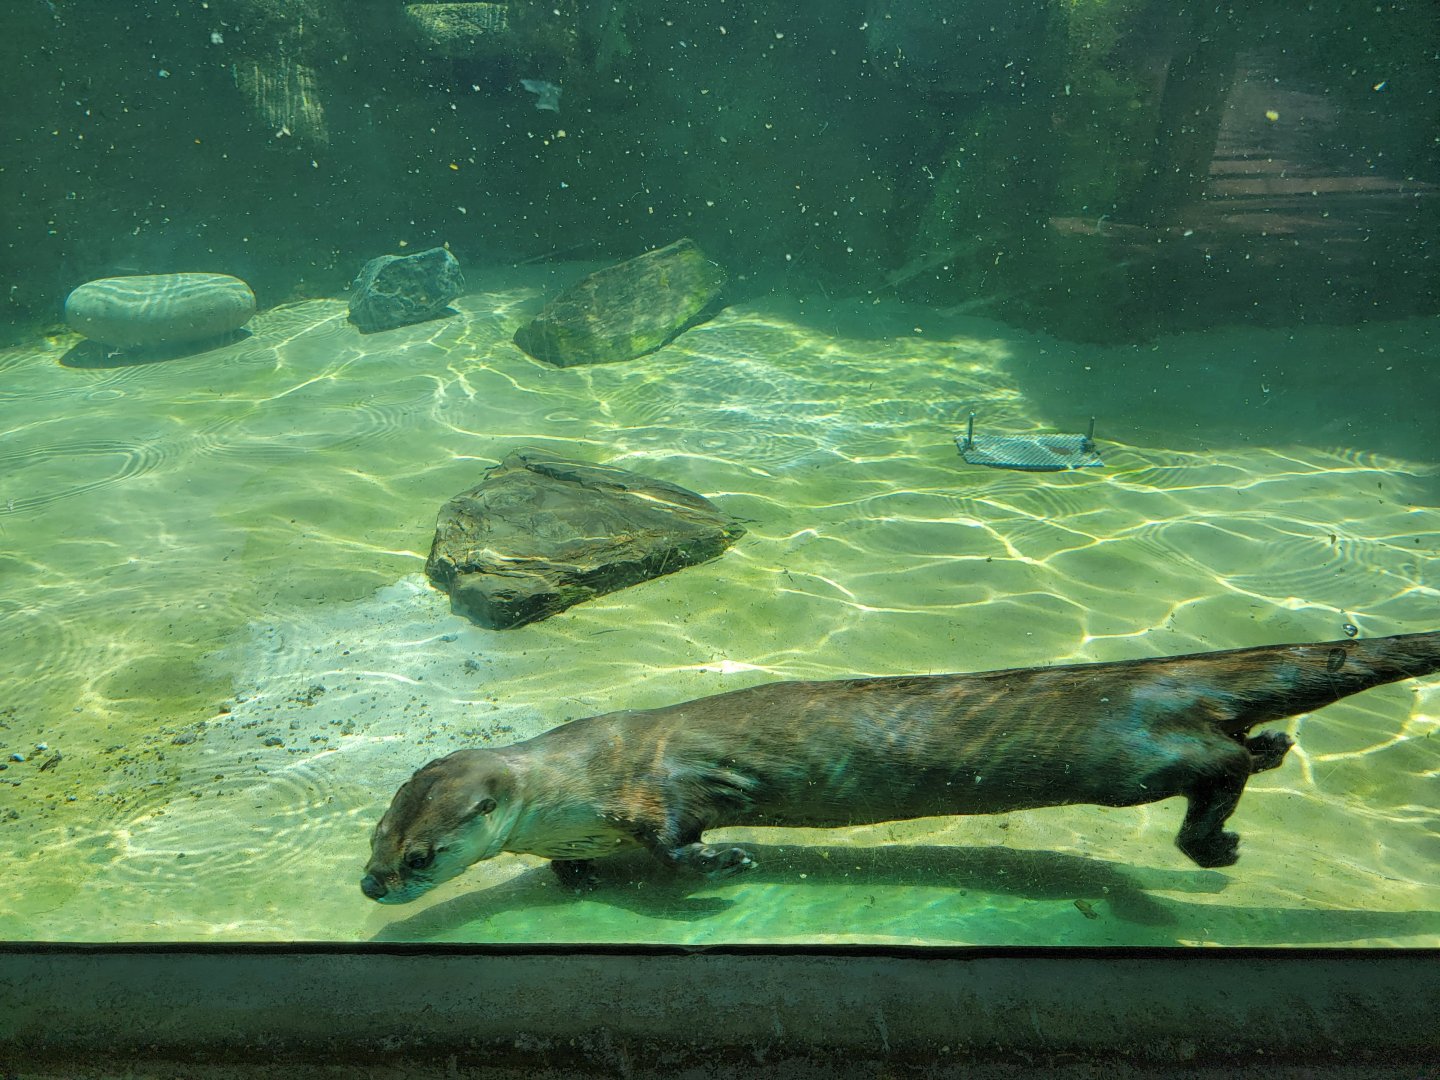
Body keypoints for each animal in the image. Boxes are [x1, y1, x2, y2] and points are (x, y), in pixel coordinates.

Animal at [361, 630, 1440, 903]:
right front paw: (572, 875)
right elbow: (575, 864)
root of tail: (1162, 674)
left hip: (1126, 753)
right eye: (374, 839)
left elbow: (676, 840)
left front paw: (728, 865)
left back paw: (1239, 801)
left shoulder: (641, 791)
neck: (565, 784)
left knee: (1212, 755)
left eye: (420, 856)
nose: (372, 887)